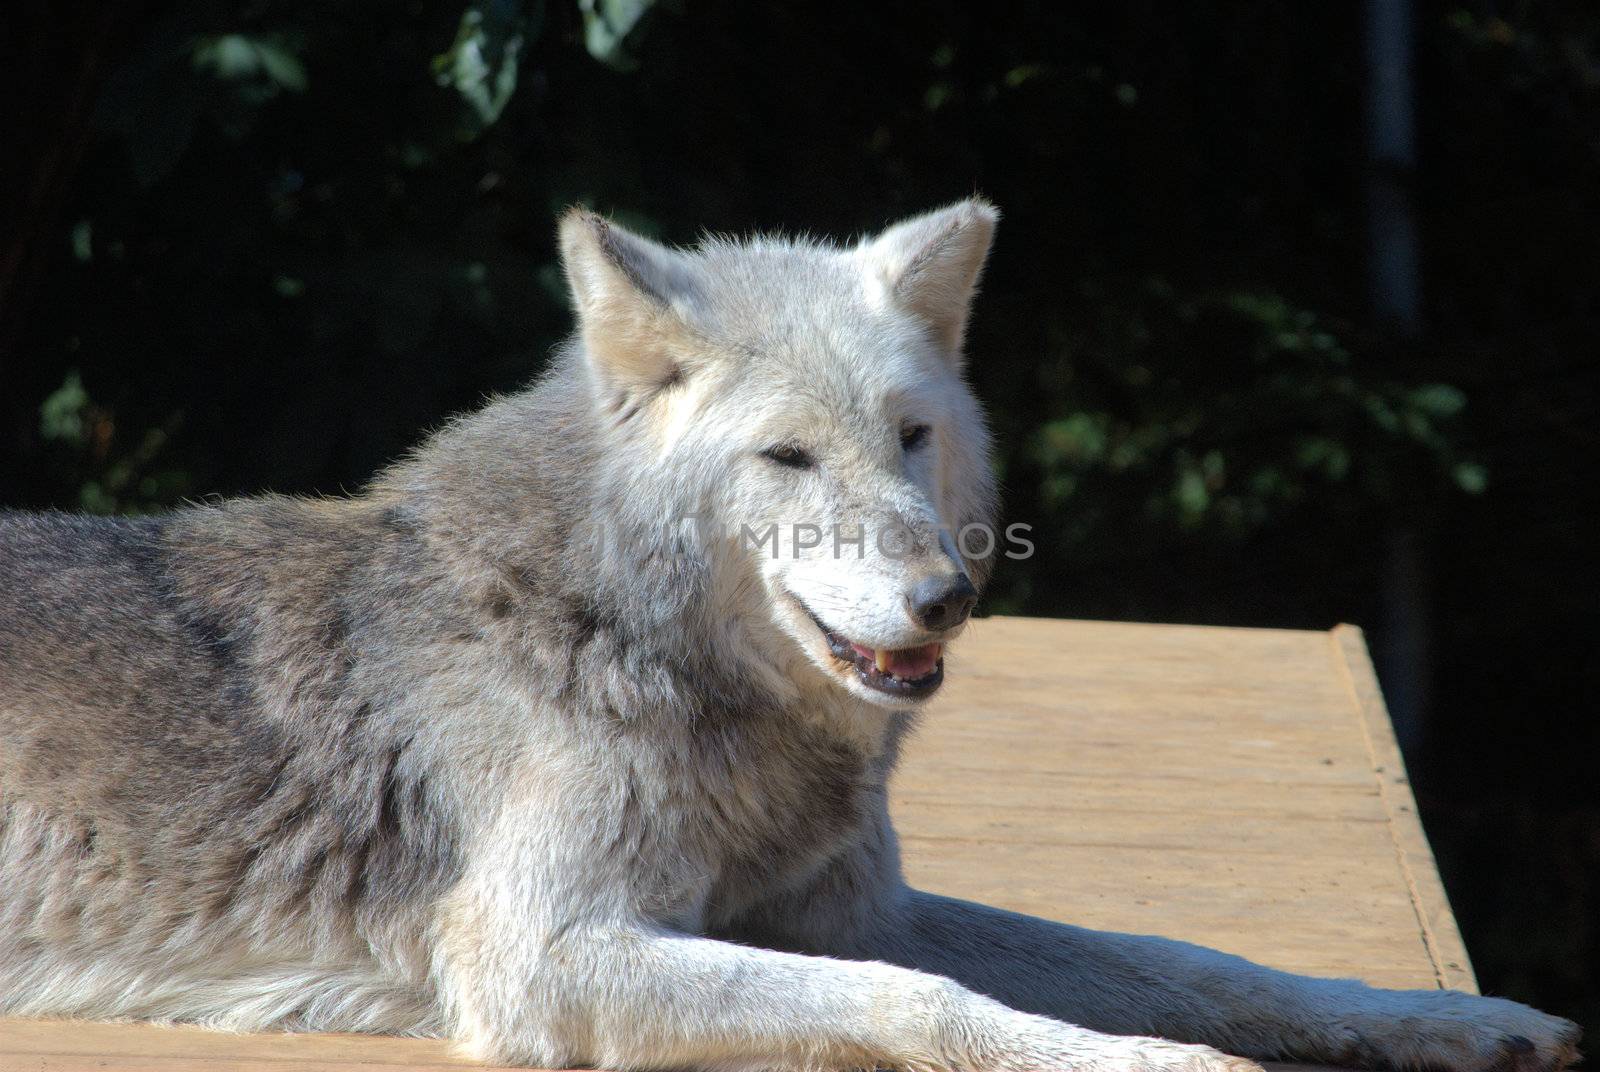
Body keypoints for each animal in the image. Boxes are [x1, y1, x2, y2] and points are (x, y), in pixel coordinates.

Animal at [0, 201, 1580, 1072]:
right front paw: (1149, 1065)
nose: (945, 598)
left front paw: (1455, 1020)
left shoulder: (850, 908)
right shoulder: (544, 956)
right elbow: (920, 999)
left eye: (910, 436)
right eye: (788, 458)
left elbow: (1199, 961)